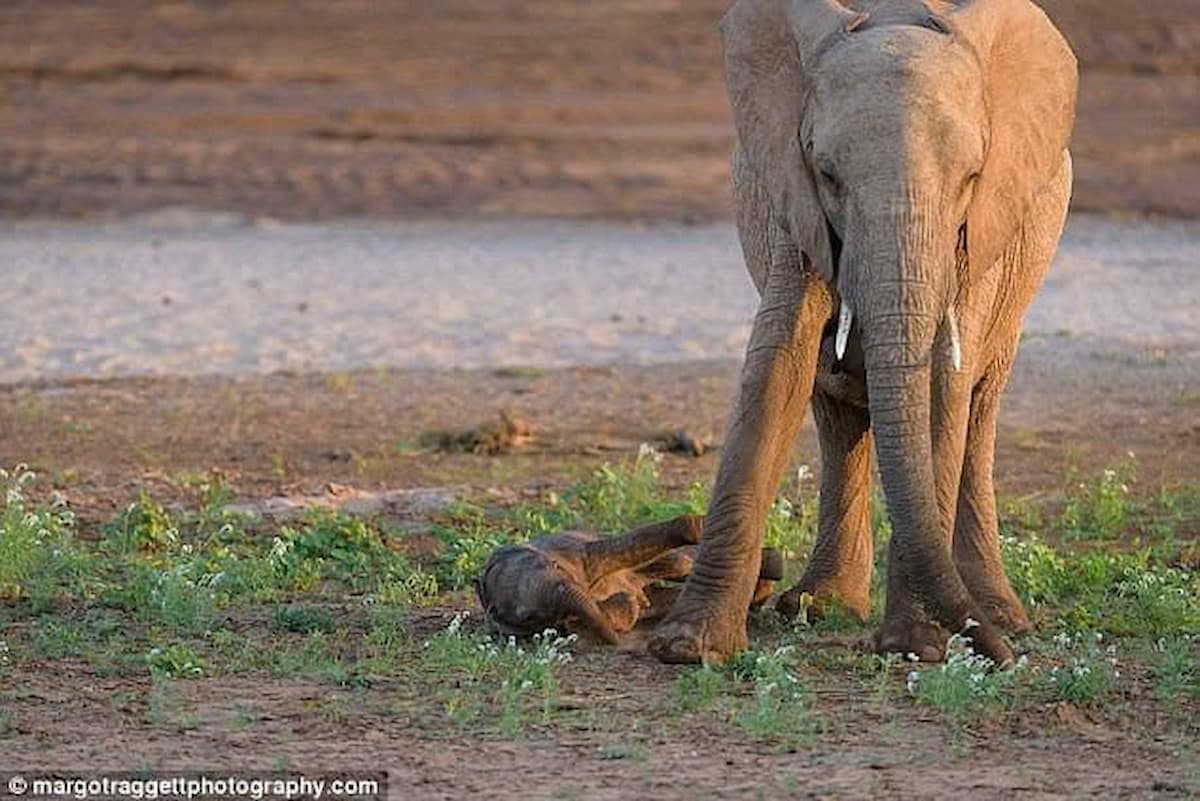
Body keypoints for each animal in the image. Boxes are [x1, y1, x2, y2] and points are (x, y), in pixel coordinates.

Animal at [472, 515, 782, 647]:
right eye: (529, 616)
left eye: (554, 565)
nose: (618, 645)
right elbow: (614, 614)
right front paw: (627, 605)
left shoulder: (574, 552)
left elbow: (614, 551)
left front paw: (696, 525)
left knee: (679, 563)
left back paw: (771, 570)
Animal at [648, 0, 1080, 666]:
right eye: (827, 174)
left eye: (972, 177)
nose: (1000, 658)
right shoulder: (793, 204)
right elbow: (779, 363)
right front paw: (689, 650)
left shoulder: (980, 230)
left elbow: (943, 383)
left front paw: (916, 650)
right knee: (836, 414)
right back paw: (821, 606)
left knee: (979, 409)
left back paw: (1004, 616)